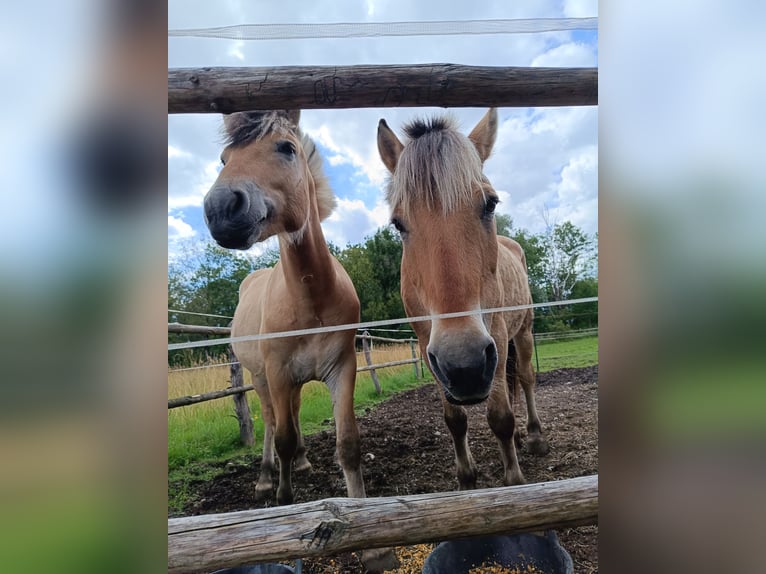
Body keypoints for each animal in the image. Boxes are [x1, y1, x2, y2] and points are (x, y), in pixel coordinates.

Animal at [376, 109, 544, 490]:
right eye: (397, 224)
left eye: (490, 204)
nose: (464, 365)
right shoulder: (429, 345)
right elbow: (454, 420)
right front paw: (466, 477)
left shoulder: (496, 336)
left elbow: (500, 417)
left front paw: (514, 480)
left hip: (523, 332)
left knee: (525, 378)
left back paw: (534, 436)